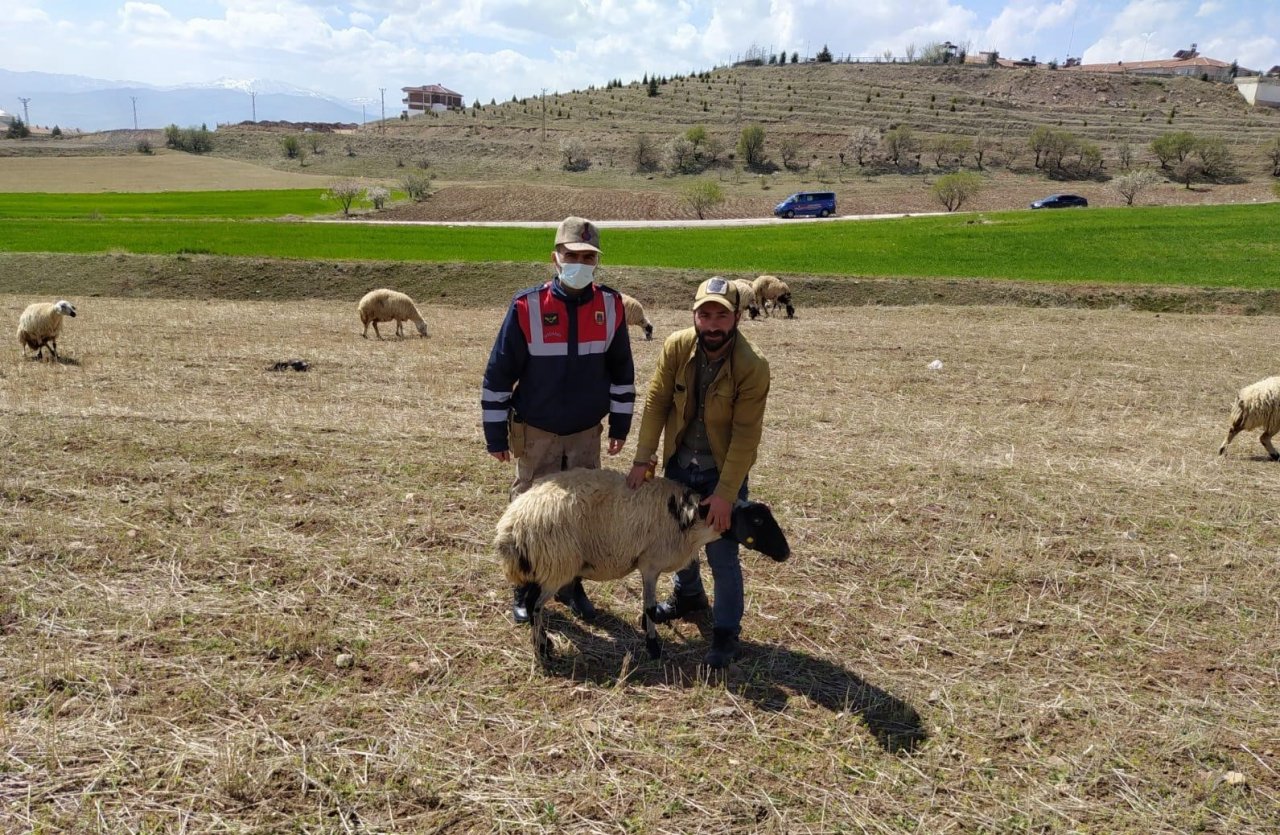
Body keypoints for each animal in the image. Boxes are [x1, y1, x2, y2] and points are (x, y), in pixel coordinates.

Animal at [496, 468, 788, 665]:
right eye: (758, 521)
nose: (786, 553)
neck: (692, 520)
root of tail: (510, 529)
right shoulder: (650, 564)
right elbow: (648, 606)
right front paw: (653, 646)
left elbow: (650, 607)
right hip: (556, 563)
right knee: (535, 605)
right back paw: (542, 649)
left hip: (544, 566)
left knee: (533, 602)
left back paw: (544, 644)